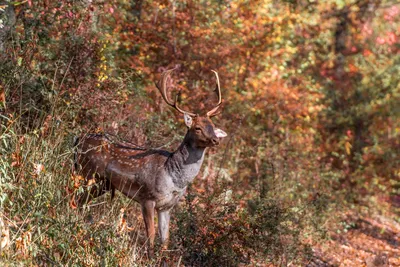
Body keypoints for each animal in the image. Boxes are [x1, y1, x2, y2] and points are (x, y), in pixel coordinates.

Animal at [73, 68, 227, 258]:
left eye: (212, 126)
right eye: (197, 127)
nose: (215, 140)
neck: (173, 178)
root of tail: (78, 139)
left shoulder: (167, 206)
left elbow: (165, 240)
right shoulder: (147, 197)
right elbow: (151, 236)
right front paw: (149, 258)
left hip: (103, 184)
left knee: (80, 201)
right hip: (86, 172)